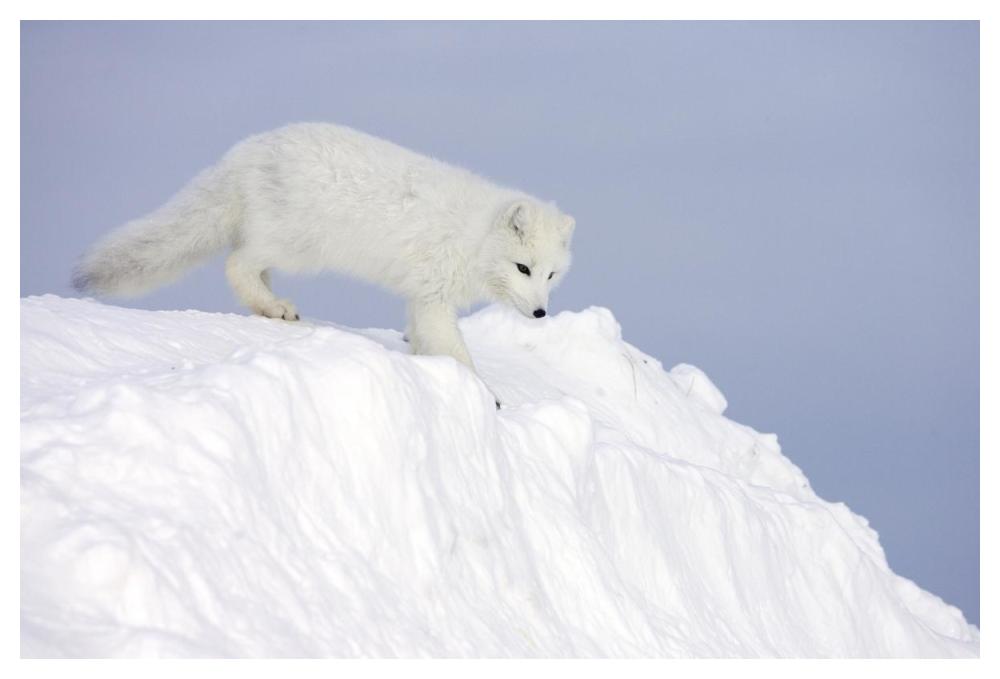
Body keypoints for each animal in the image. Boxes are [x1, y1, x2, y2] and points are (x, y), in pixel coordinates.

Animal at [73, 122, 575, 406]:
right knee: (236, 263)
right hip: (296, 246)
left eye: (551, 274)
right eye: (523, 268)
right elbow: (457, 353)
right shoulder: (434, 296)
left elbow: (423, 341)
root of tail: (248, 149)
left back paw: (269, 308)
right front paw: (486, 397)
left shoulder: (420, 295)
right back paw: (276, 307)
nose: (540, 313)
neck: (472, 237)